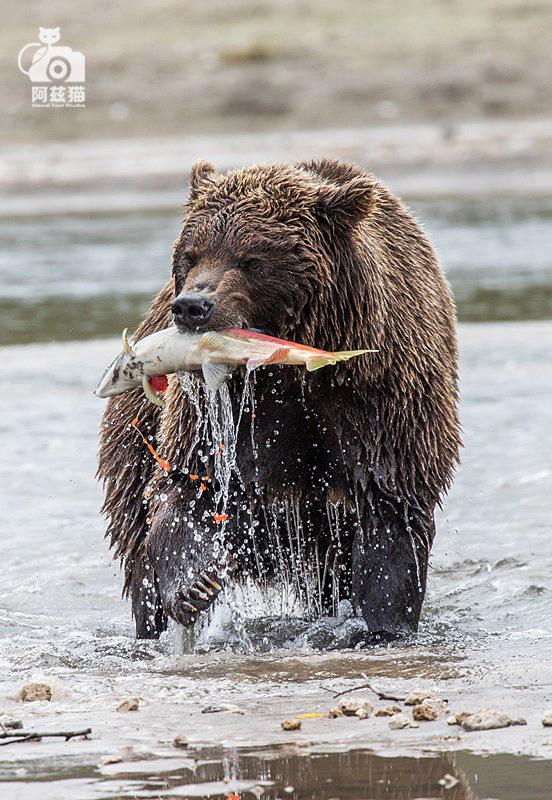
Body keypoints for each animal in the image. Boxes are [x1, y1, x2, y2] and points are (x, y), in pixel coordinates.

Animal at [97, 156, 460, 644]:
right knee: (139, 547)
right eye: (190, 255)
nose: (192, 306)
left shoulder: (382, 399)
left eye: (251, 259)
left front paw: (384, 629)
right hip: (133, 443)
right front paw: (195, 586)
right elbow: (189, 488)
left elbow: (390, 510)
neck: (291, 368)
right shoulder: (217, 414)